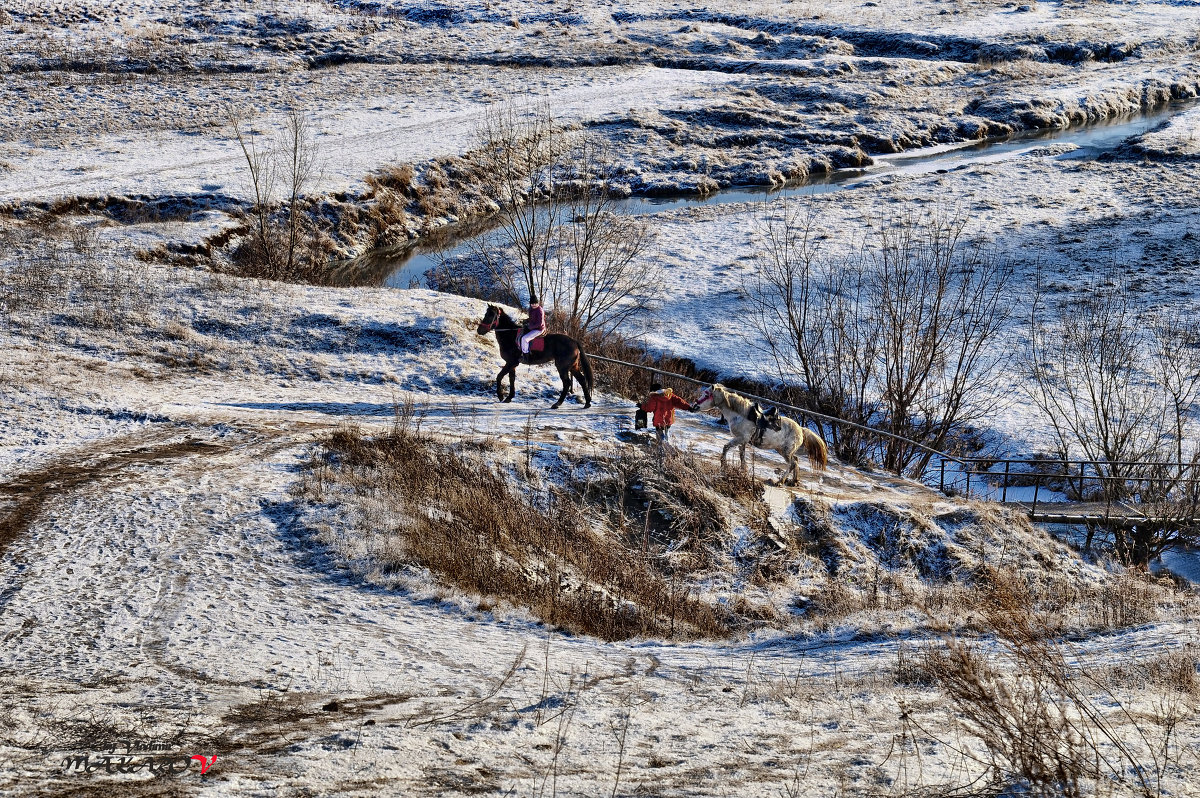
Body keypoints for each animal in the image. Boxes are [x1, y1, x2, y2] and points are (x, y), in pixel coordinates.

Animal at [696, 381, 825, 484]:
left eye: (706, 395)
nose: (694, 405)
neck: (741, 414)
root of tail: (801, 430)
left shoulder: (741, 438)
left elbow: (726, 447)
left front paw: (724, 466)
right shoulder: (743, 440)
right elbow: (741, 454)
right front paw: (743, 469)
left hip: (785, 452)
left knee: (792, 464)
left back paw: (780, 481)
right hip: (783, 450)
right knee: (796, 461)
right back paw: (794, 481)